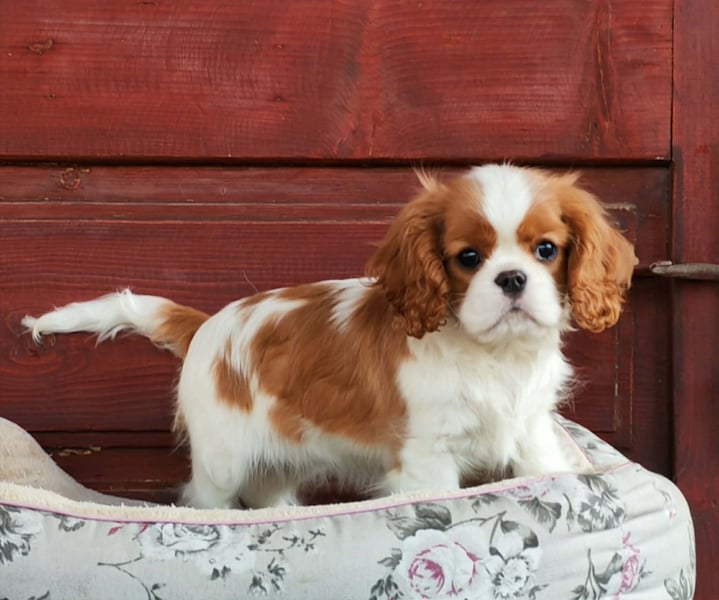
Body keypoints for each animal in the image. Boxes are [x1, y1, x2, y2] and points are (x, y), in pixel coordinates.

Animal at [23, 164, 637, 509]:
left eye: (546, 250)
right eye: (468, 258)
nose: (512, 279)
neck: (494, 355)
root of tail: (206, 324)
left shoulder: (530, 431)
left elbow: (544, 469)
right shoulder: (428, 456)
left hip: (278, 463)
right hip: (222, 460)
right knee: (207, 502)